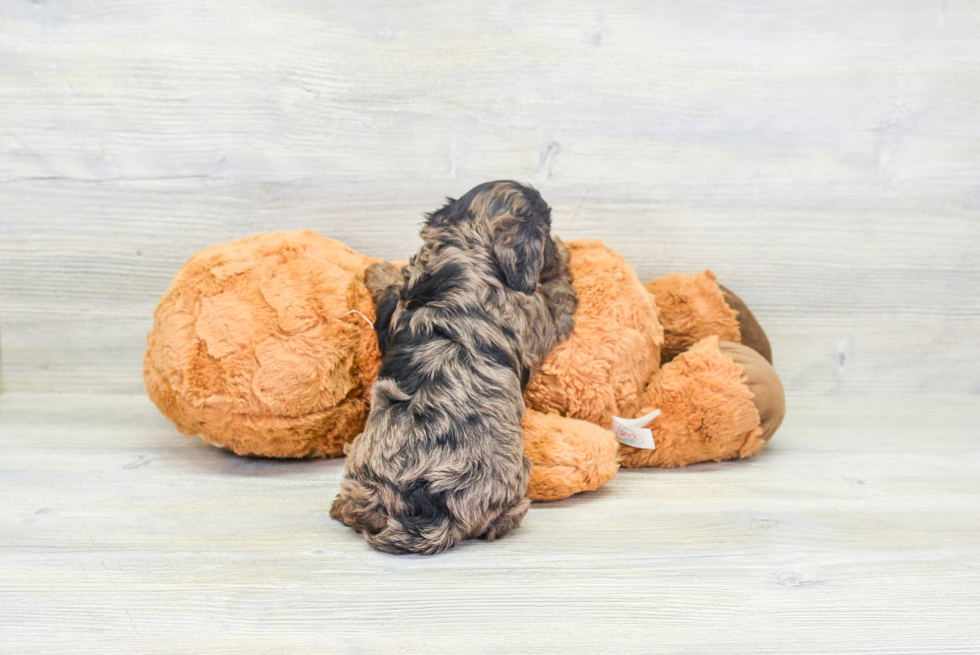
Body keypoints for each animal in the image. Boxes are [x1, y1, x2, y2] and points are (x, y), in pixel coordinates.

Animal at [332, 182, 576, 556]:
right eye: (545, 231)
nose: (557, 244)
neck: (463, 249)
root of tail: (429, 511)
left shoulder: (398, 305)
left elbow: (390, 292)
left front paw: (376, 270)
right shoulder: (537, 316)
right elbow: (558, 300)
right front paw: (563, 257)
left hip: (364, 474)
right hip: (514, 480)